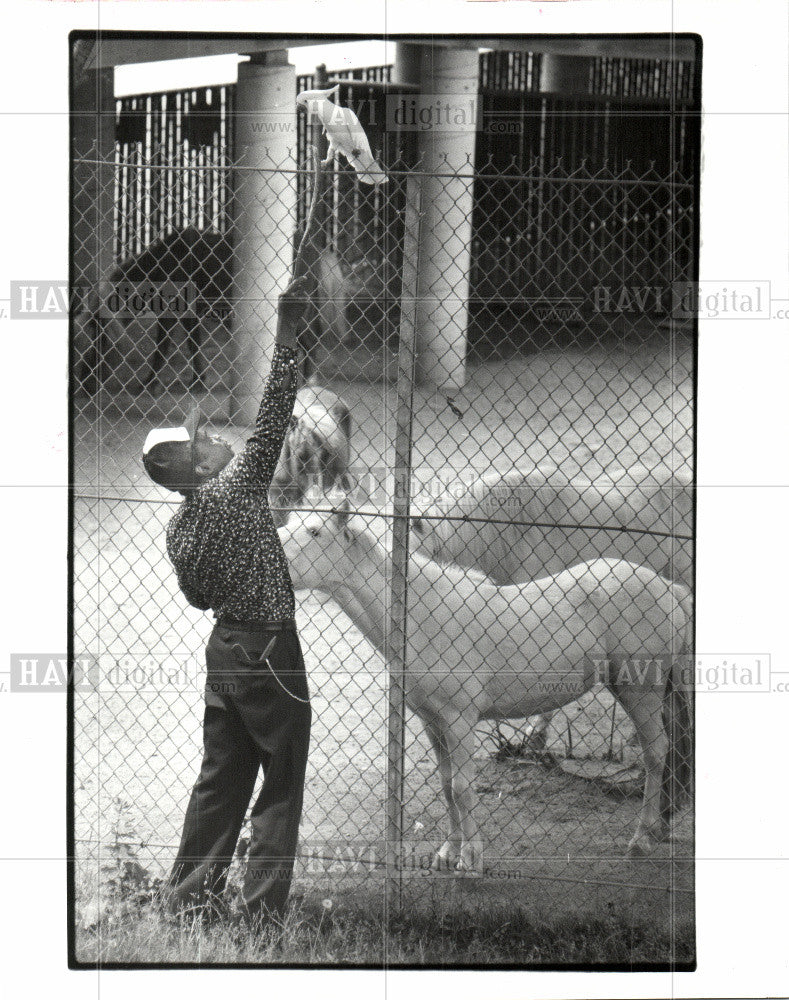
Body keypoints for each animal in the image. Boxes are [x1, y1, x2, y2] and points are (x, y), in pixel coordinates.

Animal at [280, 504, 692, 872]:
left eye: (315, 531)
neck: (421, 615)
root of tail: (668, 588)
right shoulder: (432, 722)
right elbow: (446, 784)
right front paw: (447, 853)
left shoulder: (459, 720)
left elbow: (462, 787)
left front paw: (470, 859)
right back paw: (660, 827)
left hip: (640, 692)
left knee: (656, 753)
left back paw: (641, 839)